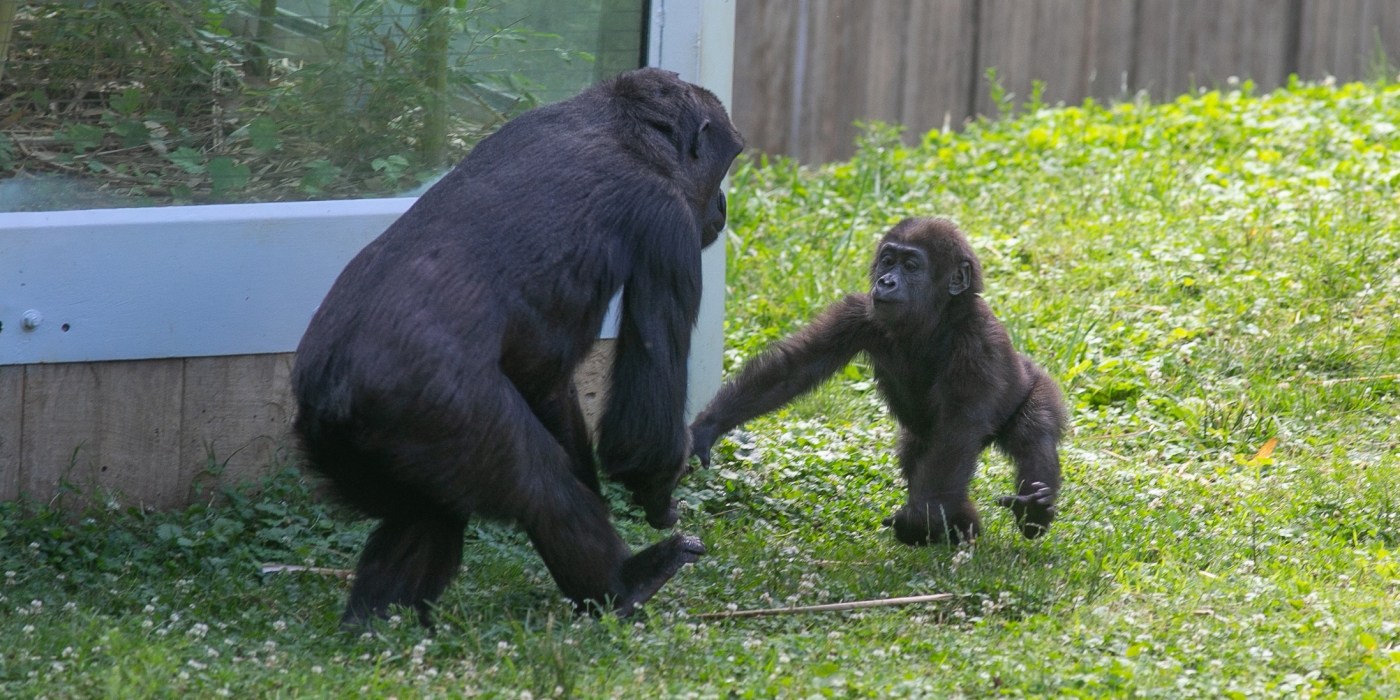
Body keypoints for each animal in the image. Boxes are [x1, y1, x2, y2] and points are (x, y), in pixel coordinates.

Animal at [292, 68, 744, 627]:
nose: (722, 205)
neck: (627, 136)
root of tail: (331, 394)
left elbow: (544, 380)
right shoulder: (669, 224)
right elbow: (640, 421)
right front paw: (658, 491)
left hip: (363, 448)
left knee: (426, 511)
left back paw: (379, 624)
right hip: (438, 410)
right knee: (541, 489)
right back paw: (624, 584)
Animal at [688, 215, 1058, 543]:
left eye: (911, 266)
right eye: (888, 261)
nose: (886, 282)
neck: (935, 318)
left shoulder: (979, 344)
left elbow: (958, 429)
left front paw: (919, 521)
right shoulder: (857, 312)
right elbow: (794, 368)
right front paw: (708, 425)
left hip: (1039, 385)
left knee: (1033, 434)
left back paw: (1034, 511)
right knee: (917, 457)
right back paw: (961, 527)